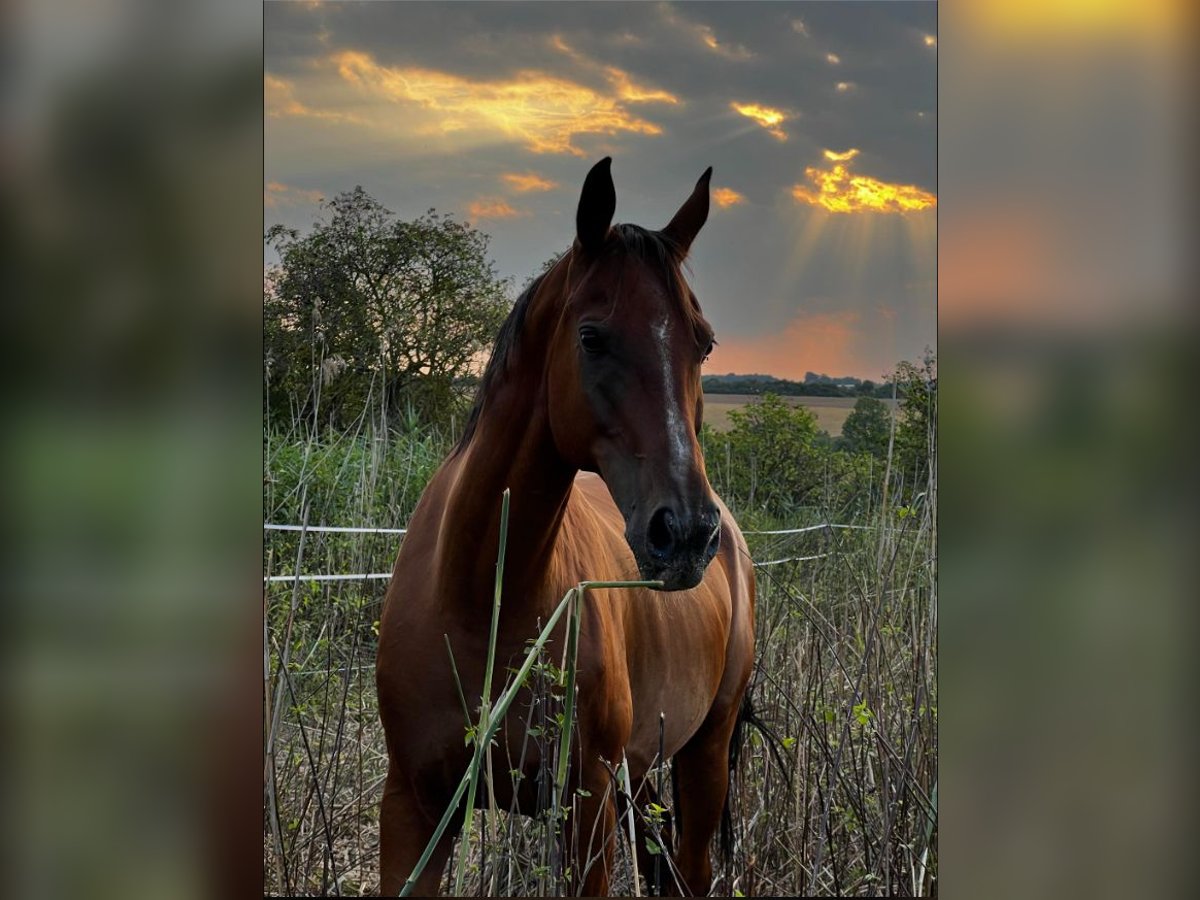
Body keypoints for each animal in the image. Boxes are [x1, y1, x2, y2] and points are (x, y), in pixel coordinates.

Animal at [374, 158, 753, 897]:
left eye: (704, 342)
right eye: (592, 336)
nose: (687, 534)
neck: (478, 595)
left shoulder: (587, 812)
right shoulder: (412, 807)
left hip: (704, 755)